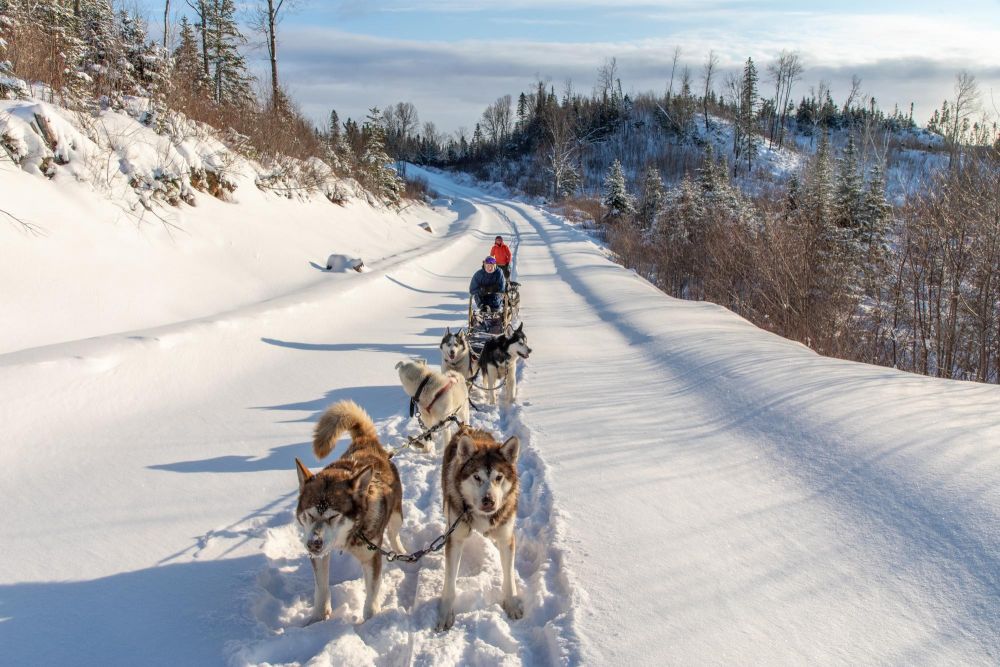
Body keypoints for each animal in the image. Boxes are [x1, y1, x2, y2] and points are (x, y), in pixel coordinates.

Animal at [294, 402, 404, 628]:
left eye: (333, 516)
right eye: (309, 515)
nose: (313, 544)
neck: (352, 533)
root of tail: (367, 442)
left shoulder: (371, 557)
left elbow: (371, 598)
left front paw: (371, 623)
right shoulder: (319, 556)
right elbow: (321, 588)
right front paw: (318, 618)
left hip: (397, 515)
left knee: (393, 534)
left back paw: (400, 550)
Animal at [436, 428, 524, 632]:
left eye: (498, 477)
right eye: (477, 477)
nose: (489, 501)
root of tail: (466, 428)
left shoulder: (506, 538)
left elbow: (509, 576)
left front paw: (512, 603)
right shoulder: (456, 539)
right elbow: (449, 583)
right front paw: (445, 613)